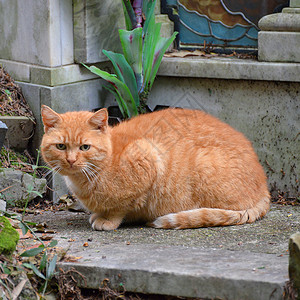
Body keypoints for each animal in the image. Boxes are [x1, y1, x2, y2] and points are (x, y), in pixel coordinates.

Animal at [40, 105, 270, 230]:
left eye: (84, 147)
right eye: (61, 146)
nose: (71, 160)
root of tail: (265, 187)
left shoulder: (148, 159)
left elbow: (121, 207)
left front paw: (108, 220)